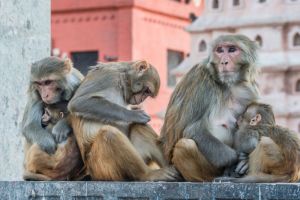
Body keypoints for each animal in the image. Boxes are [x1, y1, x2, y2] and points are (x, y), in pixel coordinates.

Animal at [159, 34, 260, 181]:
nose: (224, 62)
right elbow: (193, 129)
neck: (227, 85)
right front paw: (235, 160)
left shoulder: (247, 91)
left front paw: (246, 161)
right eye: (220, 50)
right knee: (184, 146)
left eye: (232, 49)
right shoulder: (201, 81)